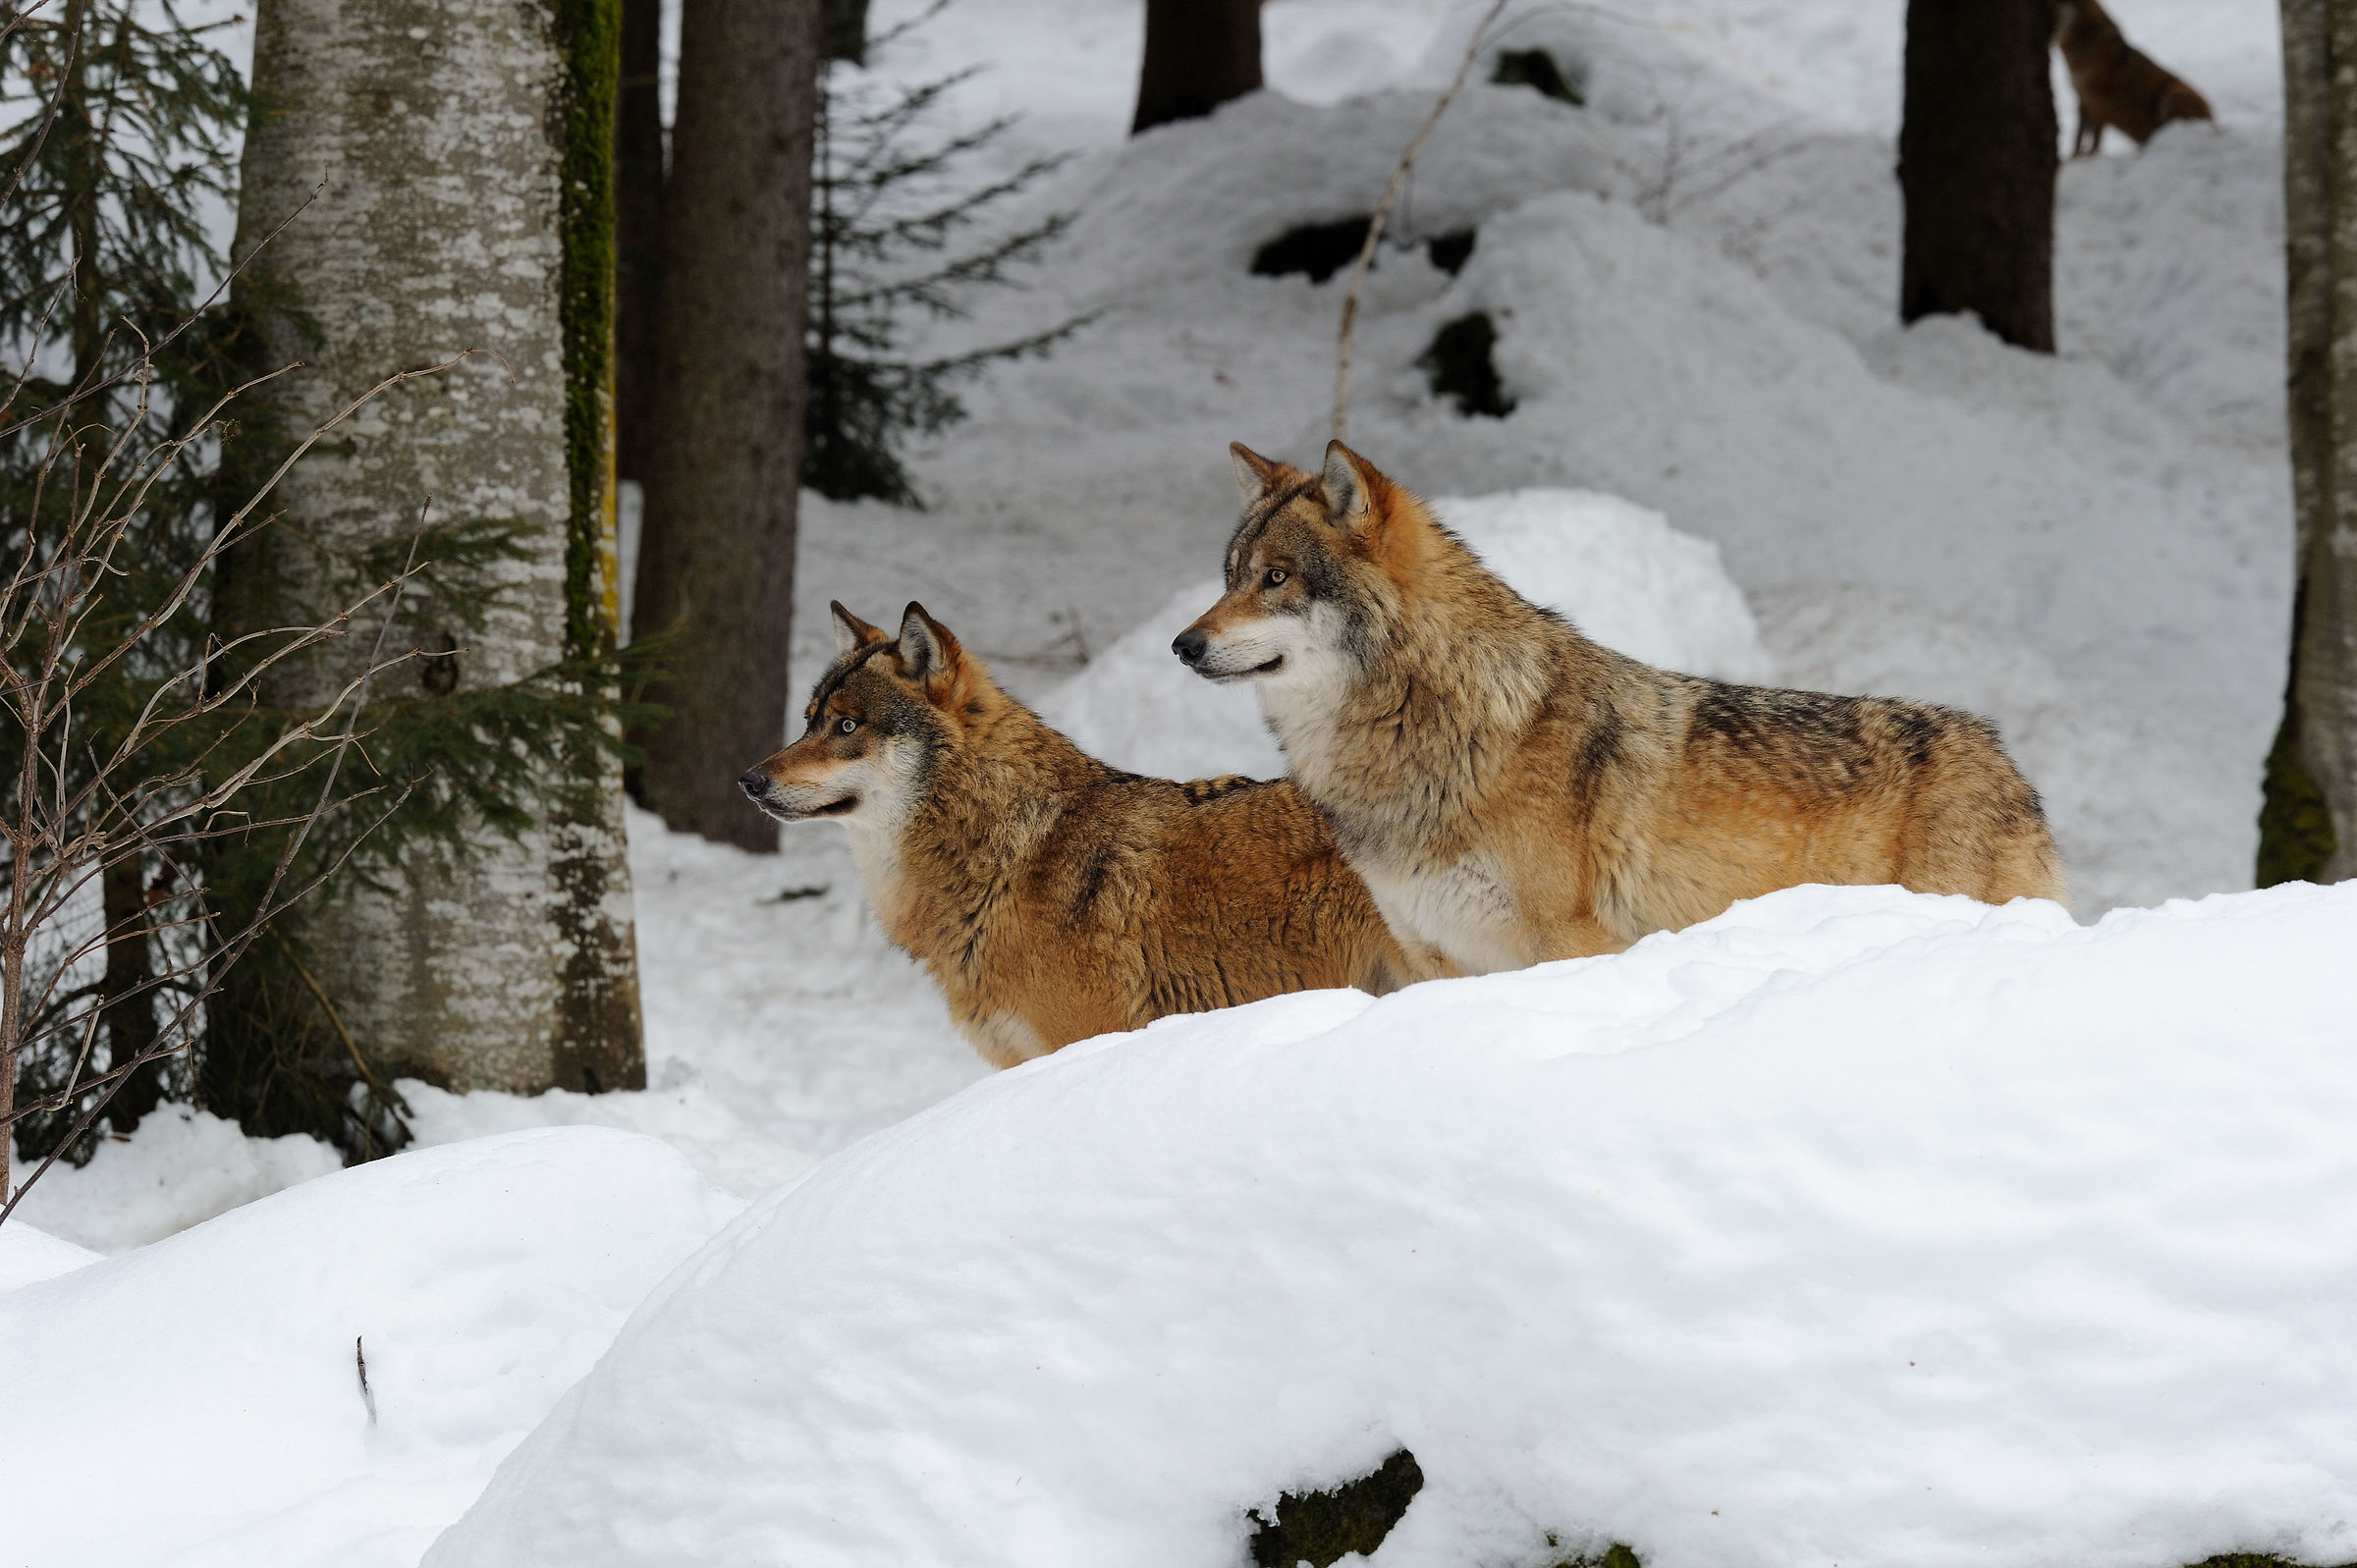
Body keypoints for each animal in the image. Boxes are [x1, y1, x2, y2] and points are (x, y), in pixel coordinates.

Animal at [1172, 443, 2067, 977]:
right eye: (1230, 575)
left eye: (1277, 578)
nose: (1183, 643)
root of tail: (2001, 754)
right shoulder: (1435, 955)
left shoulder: (1568, 945)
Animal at [2055, 0, 2213, 156]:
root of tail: (2214, 121)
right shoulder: (2082, 99)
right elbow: (2078, 136)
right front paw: (2074, 157)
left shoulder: (2100, 99)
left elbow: (2096, 136)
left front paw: (2091, 156)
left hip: (2173, 94)